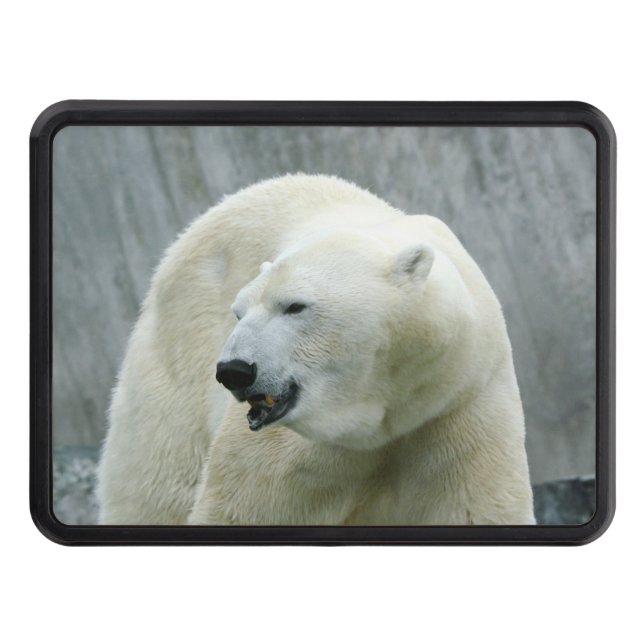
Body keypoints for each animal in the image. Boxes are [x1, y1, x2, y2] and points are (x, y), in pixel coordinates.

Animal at [97, 173, 535, 525]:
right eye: (238, 313)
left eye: (295, 305)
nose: (235, 370)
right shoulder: (289, 453)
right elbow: (244, 506)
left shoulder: (459, 407)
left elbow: (477, 510)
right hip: (177, 352)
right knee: (157, 482)